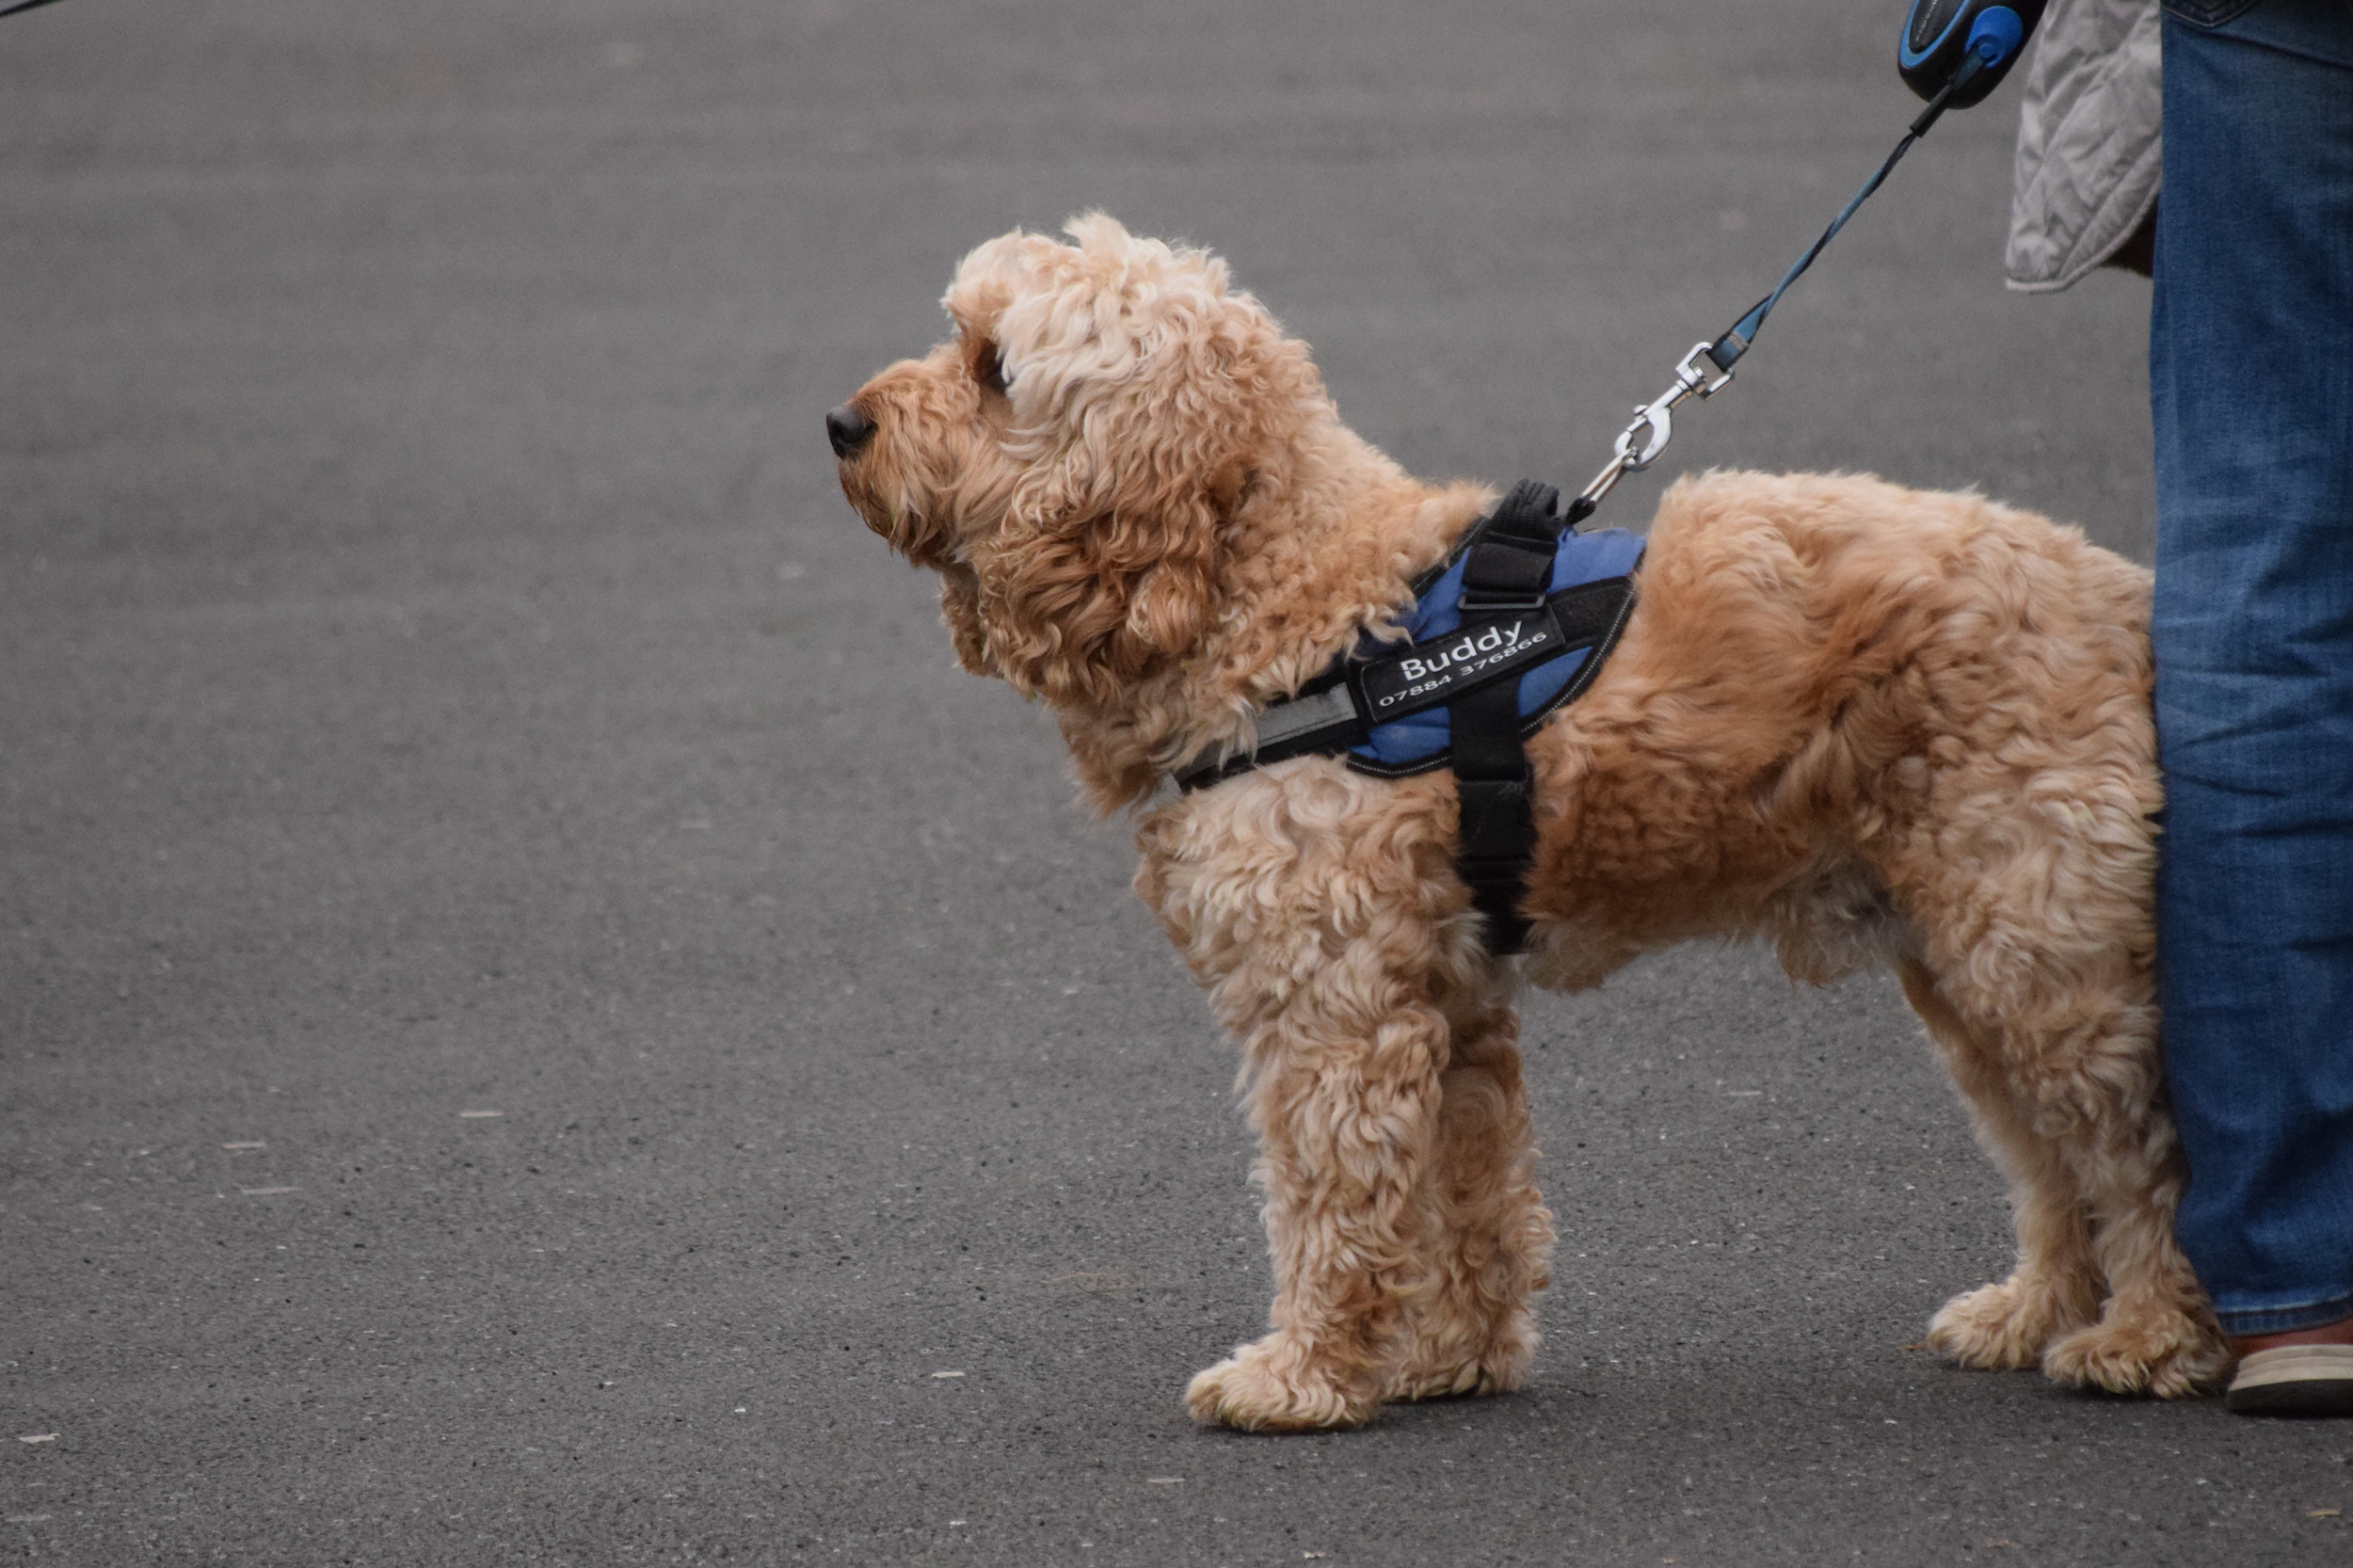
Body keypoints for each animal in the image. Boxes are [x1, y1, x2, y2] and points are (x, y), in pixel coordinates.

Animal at [828, 214, 2221, 1421]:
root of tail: (2124, 595)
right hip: (1968, 959)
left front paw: (1301, 1374)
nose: (842, 423)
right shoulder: (1446, 999)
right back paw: (2035, 1310)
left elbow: (1331, 1203)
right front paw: (1452, 1354)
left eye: (994, 368)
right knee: (2046, 1156)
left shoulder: (1335, 1012)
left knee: (2140, 1150)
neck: (1301, 606)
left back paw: (2150, 1337)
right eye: (958, 334)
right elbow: (1469, 1193)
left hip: (2042, 954)